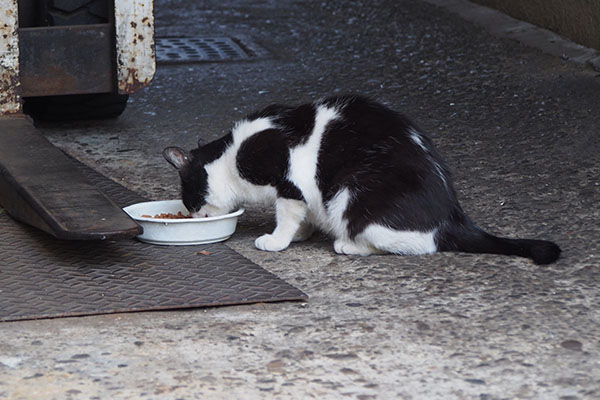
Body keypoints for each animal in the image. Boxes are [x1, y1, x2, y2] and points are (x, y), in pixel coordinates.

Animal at [163, 95, 556, 264]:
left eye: (188, 198)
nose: (193, 214)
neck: (234, 154)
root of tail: (453, 216)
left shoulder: (289, 183)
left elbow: (287, 215)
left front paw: (277, 240)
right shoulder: (304, 195)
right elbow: (304, 215)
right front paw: (303, 233)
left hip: (350, 191)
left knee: (418, 245)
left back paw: (348, 245)